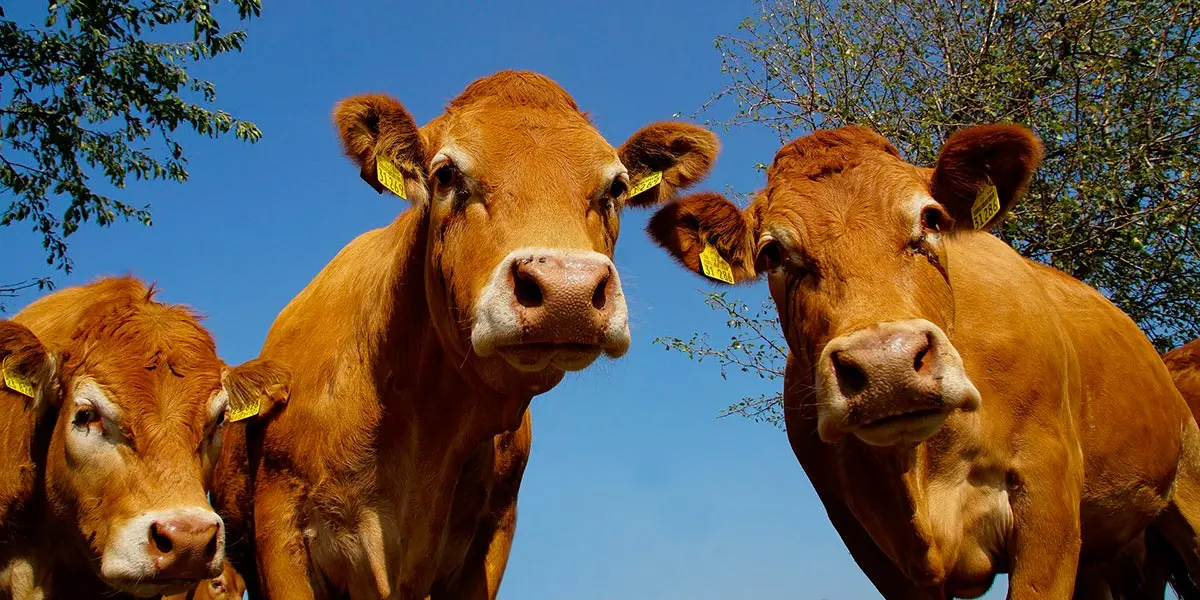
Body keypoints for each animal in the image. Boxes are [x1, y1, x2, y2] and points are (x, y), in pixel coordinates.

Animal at [645, 124, 1200, 598]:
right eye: (772, 254)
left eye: (931, 219)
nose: (886, 365)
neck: (927, 466)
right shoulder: (876, 550)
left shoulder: (1050, 505)